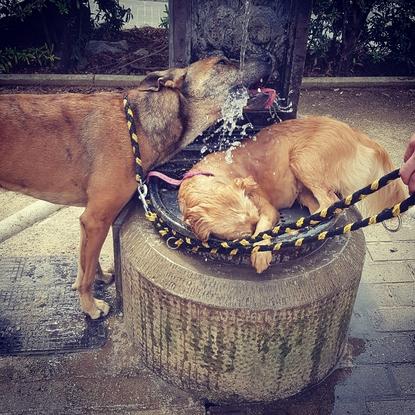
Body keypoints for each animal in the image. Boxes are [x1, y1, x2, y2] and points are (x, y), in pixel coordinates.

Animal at [0, 55, 272, 320]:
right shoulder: (96, 219)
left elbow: (86, 261)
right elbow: (87, 271)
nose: (266, 56)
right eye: (222, 62)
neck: (138, 126)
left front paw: (97, 279)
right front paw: (90, 306)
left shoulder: (88, 221)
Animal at [179, 115, 406, 274]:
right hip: (302, 188)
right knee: (319, 208)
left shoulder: (268, 209)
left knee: (330, 203)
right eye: (241, 236)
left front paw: (261, 253)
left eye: (254, 222)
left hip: (303, 161)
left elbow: (264, 229)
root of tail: (352, 130)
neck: (210, 174)